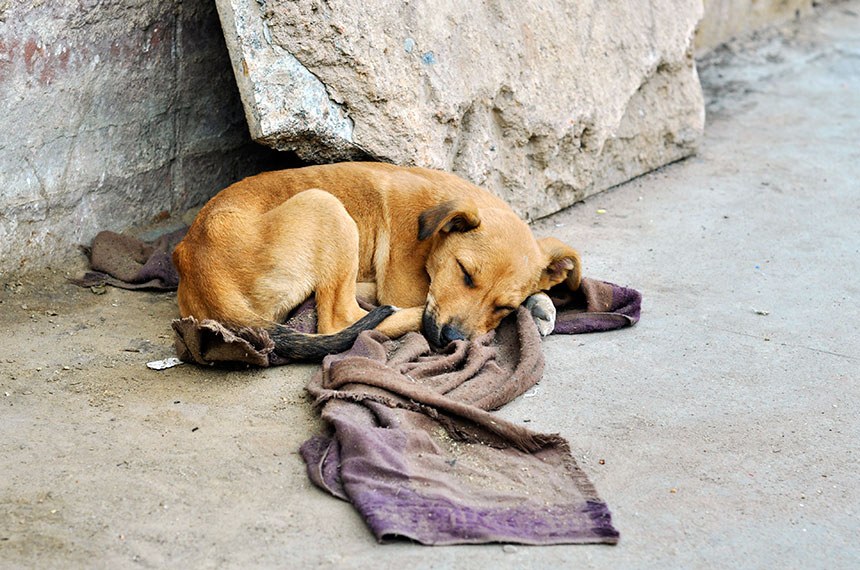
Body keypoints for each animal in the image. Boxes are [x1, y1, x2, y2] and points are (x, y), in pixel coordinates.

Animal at [171, 161, 580, 356]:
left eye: (503, 306)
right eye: (464, 273)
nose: (451, 339)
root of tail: (196, 264)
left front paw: (540, 303)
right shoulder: (407, 287)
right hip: (326, 206)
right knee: (340, 320)